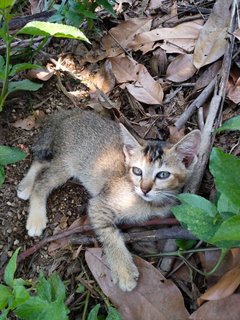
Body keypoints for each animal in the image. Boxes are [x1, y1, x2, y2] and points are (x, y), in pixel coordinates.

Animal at [17, 110, 201, 292]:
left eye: (163, 175)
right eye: (137, 171)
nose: (144, 189)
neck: (150, 203)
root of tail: (73, 112)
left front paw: (146, 245)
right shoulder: (99, 204)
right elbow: (109, 234)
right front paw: (124, 270)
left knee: (41, 161)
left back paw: (25, 186)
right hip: (66, 163)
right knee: (42, 182)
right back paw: (35, 216)